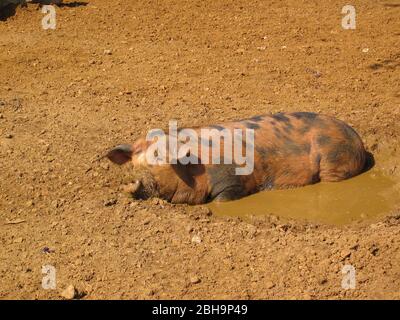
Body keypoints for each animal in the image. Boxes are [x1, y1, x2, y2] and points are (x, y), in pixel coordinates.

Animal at [106, 111, 372, 204]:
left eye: (159, 160)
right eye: (134, 164)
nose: (131, 183)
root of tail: (358, 139)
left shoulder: (233, 182)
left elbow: (222, 200)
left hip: (334, 159)